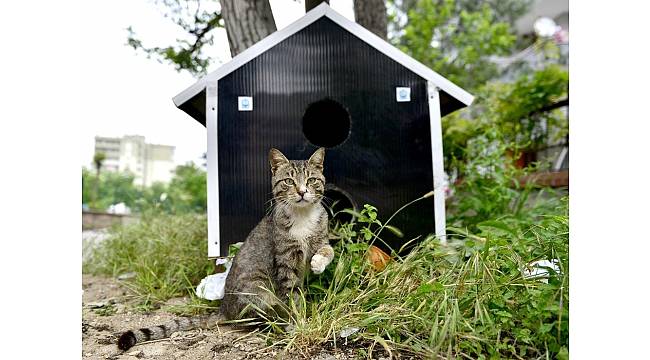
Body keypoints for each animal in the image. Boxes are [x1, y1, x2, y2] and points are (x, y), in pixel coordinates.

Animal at [116, 148, 332, 350]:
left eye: (311, 180)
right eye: (288, 181)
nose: (302, 191)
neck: (302, 216)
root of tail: (223, 309)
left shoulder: (319, 239)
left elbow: (328, 250)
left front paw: (318, 264)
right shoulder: (285, 262)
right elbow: (291, 295)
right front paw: (296, 322)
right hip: (258, 288)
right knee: (252, 318)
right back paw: (275, 322)